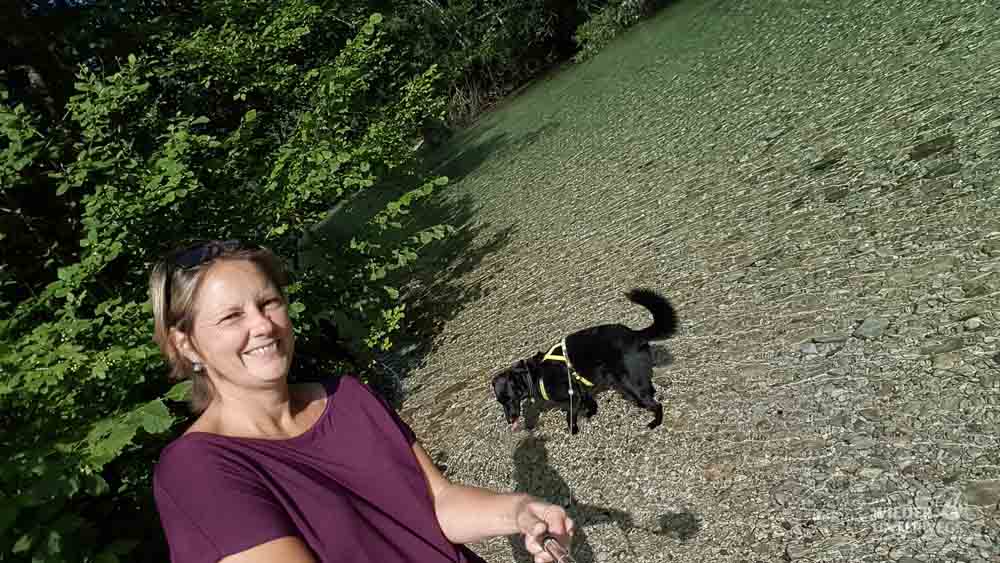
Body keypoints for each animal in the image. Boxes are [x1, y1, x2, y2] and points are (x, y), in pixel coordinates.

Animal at [490, 288, 676, 434]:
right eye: (501, 402)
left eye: (509, 398)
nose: (509, 420)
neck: (534, 374)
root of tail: (635, 334)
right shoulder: (581, 391)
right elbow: (590, 402)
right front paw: (590, 414)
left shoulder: (572, 397)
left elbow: (569, 416)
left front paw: (573, 430)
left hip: (630, 385)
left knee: (657, 404)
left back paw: (655, 422)